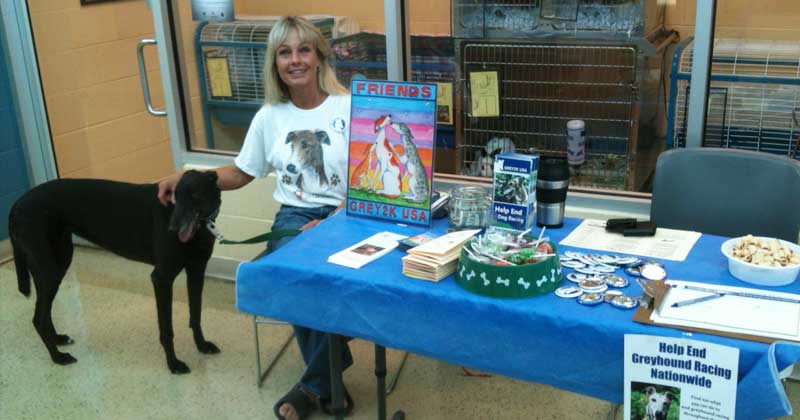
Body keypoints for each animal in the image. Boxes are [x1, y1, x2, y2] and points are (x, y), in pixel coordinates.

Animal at [8, 171, 222, 374]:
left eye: (195, 195)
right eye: (175, 195)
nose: (172, 229)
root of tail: (16, 205)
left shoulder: (196, 271)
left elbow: (196, 315)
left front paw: (202, 346)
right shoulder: (161, 278)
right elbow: (166, 330)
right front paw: (173, 364)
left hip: (58, 262)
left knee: (44, 312)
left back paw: (57, 340)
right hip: (49, 270)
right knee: (39, 318)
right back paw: (58, 357)